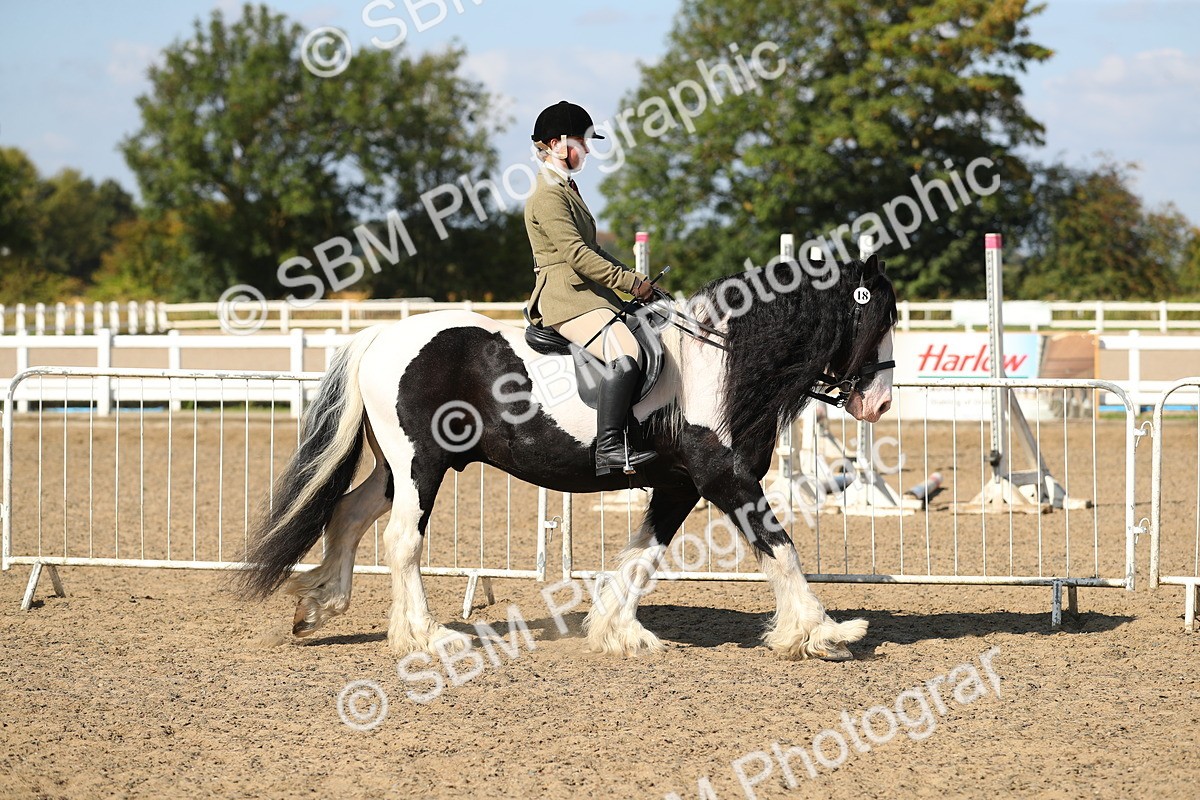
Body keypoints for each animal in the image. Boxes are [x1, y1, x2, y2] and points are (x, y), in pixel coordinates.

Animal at [236, 253, 897, 661]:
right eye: (874, 314)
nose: (880, 402)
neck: (721, 361)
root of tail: (380, 335)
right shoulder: (724, 477)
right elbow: (780, 548)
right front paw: (823, 631)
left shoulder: (679, 485)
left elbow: (642, 558)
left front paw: (617, 632)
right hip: (421, 464)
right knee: (402, 540)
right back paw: (428, 638)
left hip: (396, 468)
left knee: (349, 515)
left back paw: (323, 609)